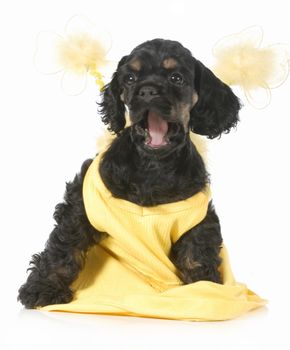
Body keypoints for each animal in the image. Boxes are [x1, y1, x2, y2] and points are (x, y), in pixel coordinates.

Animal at [17, 38, 240, 308]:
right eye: (130, 78)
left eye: (176, 78)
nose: (147, 92)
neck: (153, 166)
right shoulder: (82, 201)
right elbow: (63, 245)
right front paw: (43, 287)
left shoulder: (197, 218)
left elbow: (197, 253)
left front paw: (205, 291)